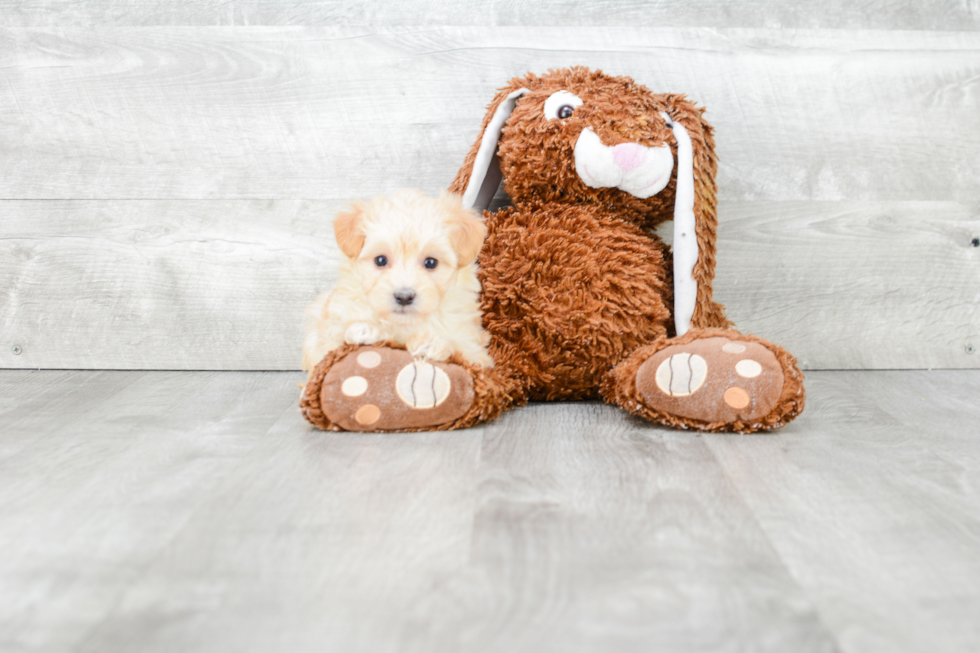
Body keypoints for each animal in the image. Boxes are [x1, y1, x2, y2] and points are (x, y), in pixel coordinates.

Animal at [302, 187, 494, 372]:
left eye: (431, 262)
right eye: (380, 260)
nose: (404, 297)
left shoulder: (474, 348)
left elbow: (464, 353)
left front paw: (431, 343)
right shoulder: (328, 328)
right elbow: (334, 341)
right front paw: (364, 329)